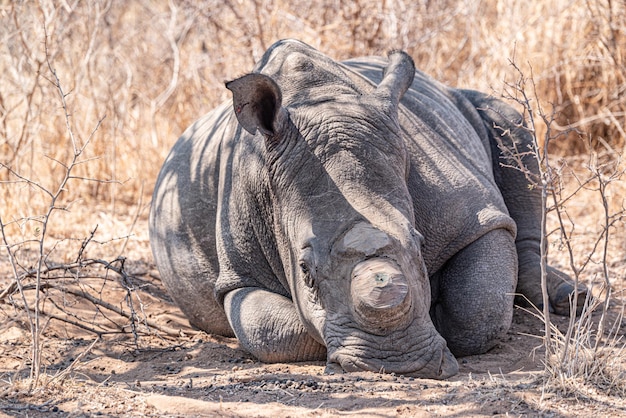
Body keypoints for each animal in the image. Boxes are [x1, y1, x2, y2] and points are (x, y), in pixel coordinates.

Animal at [149, 39, 584, 378]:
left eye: (420, 243)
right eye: (304, 270)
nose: (397, 362)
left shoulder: (476, 218)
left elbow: (478, 307)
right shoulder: (237, 274)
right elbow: (269, 330)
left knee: (507, 119)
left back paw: (570, 298)